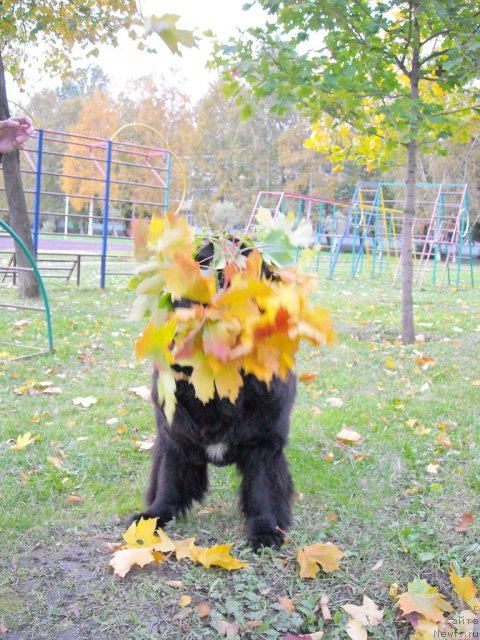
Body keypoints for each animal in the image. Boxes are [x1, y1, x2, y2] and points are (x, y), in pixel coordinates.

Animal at [132, 242, 296, 552]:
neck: (220, 377)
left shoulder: (263, 443)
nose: (220, 284)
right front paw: (153, 516)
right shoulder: (175, 436)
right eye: (202, 264)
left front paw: (265, 530)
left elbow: (262, 489)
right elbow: (168, 480)